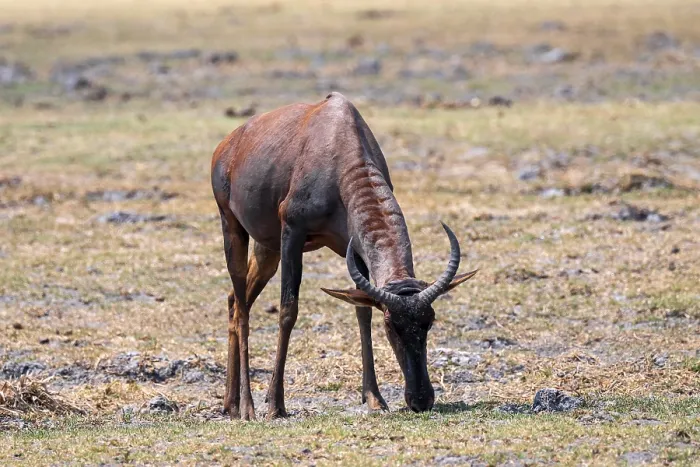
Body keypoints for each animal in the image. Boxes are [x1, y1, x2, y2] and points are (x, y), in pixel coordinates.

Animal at [211, 92, 477, 420]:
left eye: (429, 321)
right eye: (391, 324)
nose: (420, 400)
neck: (336, 142)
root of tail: (227, 145)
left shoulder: (353, 249)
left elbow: (361, 310)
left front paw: (375, 398)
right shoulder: (292, 234)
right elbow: (288, 310)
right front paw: (275, 405)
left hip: (267, 248)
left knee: (235, 300)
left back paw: (230, 403)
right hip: (233, 227)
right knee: (242, 309)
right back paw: (247, 407)